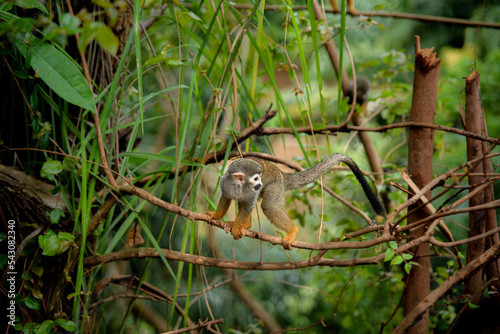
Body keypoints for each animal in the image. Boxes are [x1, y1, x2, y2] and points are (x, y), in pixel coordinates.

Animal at [207, 154, 386, 248]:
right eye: (255, 178)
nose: (259, 184)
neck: (240, 185)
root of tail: (281, 173)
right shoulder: (225, 182)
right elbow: (226, 198)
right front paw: (217, 216)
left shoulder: (253, 191)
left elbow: (249, 205)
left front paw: (237, 226)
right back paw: (246, 225)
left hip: (276, 184)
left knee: (268, 205)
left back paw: (291, 230)